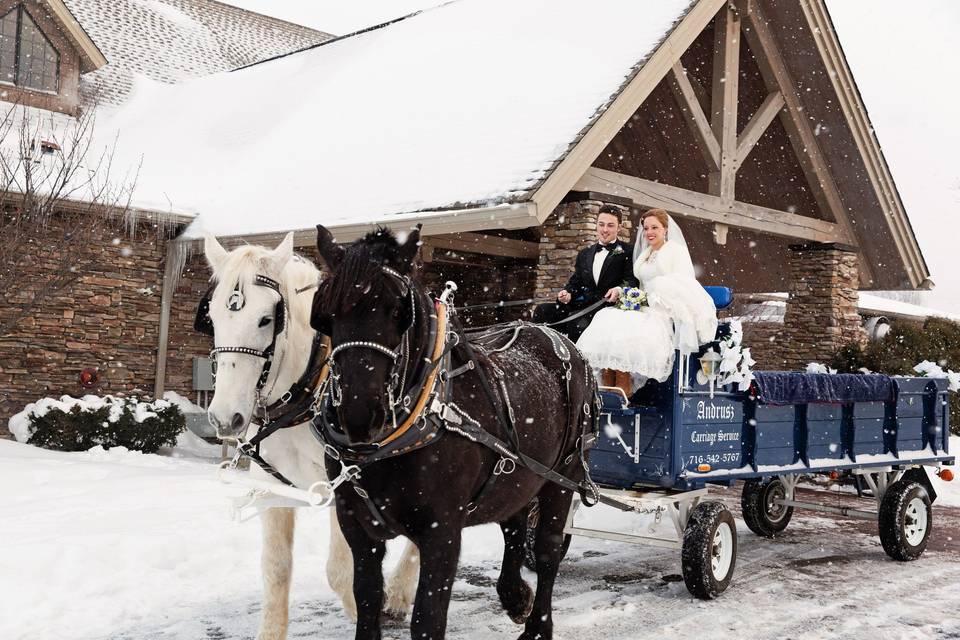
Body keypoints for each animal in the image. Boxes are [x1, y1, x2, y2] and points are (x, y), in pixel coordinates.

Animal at [201, 232, 418, 636]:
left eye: (266, 319)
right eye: (212, 318)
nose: (225, 418)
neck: (301, 397)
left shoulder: (344, 488)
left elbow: (341, 571)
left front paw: (372, 608)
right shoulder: (272, 487)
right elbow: (275, 569)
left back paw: (398, 591)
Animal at [316, 225, 596, 640]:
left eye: (398, 311)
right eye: (326, 315)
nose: (359, 413)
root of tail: (558, 338)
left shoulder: (442, 530)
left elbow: (427, 620)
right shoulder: (357, 526)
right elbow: (367, 601)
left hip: (563, 476)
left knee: (547, 551)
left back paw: (537, 626)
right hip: (517, 471)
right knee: (513, 525)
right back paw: (515, 596)